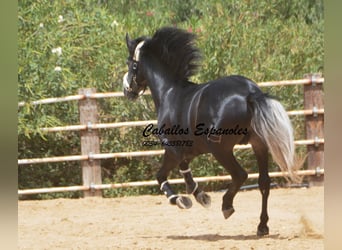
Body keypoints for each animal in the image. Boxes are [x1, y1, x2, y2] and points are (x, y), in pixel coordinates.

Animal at [122, 27, 300, 236]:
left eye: (130, 63)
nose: (127, 90)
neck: (169, 93)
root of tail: (250, 93)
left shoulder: (172, 149)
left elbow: (161, 176)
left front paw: (182, 200)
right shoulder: (189, 151)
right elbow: (185, 170)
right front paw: (199, 195)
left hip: (220, 149)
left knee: (240, 175)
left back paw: (227, 206)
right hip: (258, 144)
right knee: (264, 182)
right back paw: (262, 226)